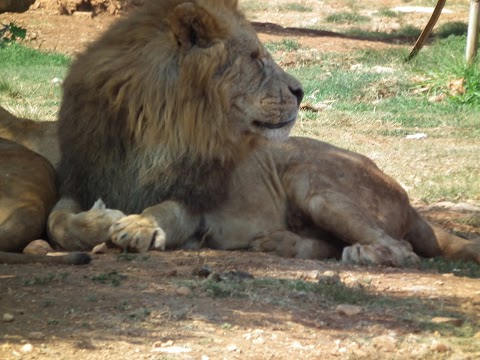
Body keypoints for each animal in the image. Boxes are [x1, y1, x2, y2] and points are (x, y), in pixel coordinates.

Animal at [0, 0, 480, 264]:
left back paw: (359, 252)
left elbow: (165, 210)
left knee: (401, 249)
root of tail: (410, 202)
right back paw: (277, 242)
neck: (154, 129)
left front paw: (136, 225)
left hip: (312, 179)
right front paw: (100, 221)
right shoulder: (84, 177)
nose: (301, 91)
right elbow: (58, 221)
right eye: (254, 58)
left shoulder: (199, 200)